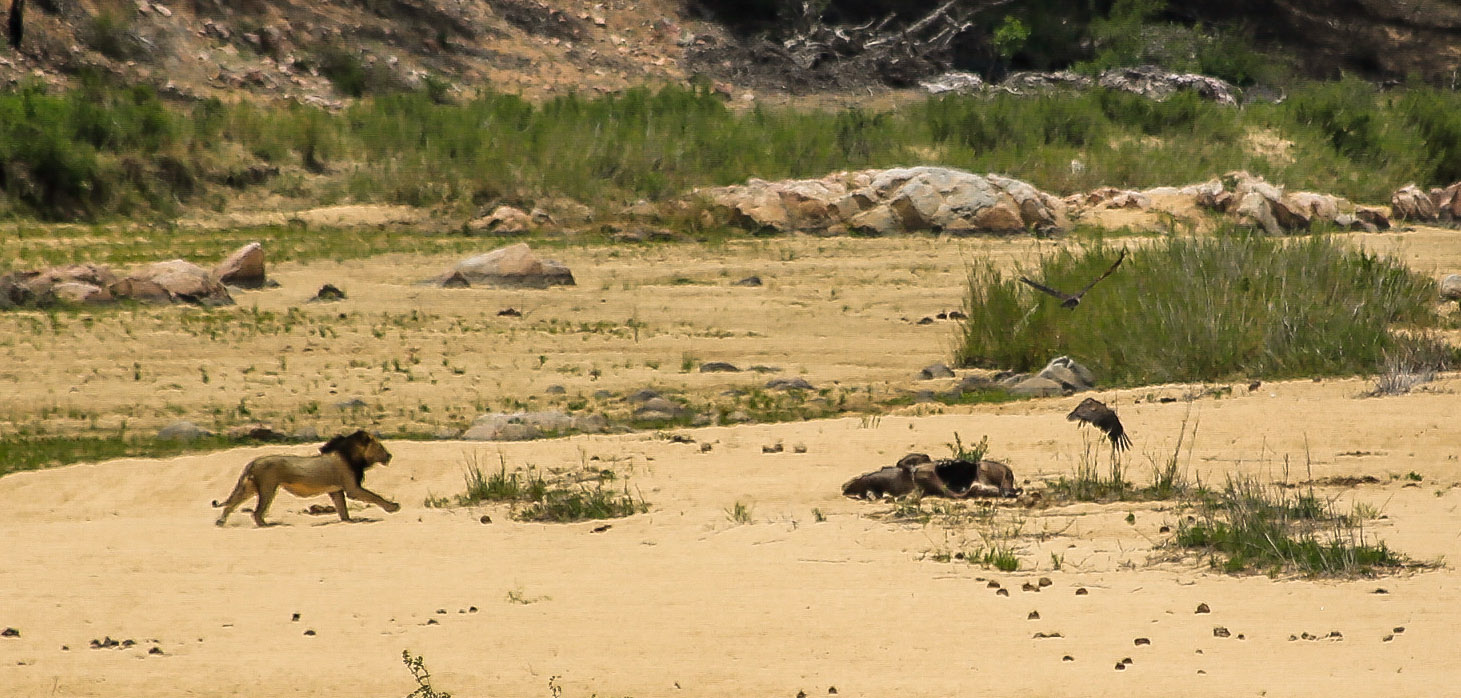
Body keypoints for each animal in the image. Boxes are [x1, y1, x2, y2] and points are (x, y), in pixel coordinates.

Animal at [211, 429, 400, 525]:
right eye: (380, 446)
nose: (389, 456)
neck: (352, 456)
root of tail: (253, 462)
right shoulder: (352, 488)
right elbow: (374, 496)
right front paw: (393, 507)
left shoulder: (336, 490)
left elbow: (342, 508)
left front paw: (349, 521)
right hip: (268, 487)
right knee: (256, 513)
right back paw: (266, 524)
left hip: (248, 487)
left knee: (232, 503)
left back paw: (221, 522)